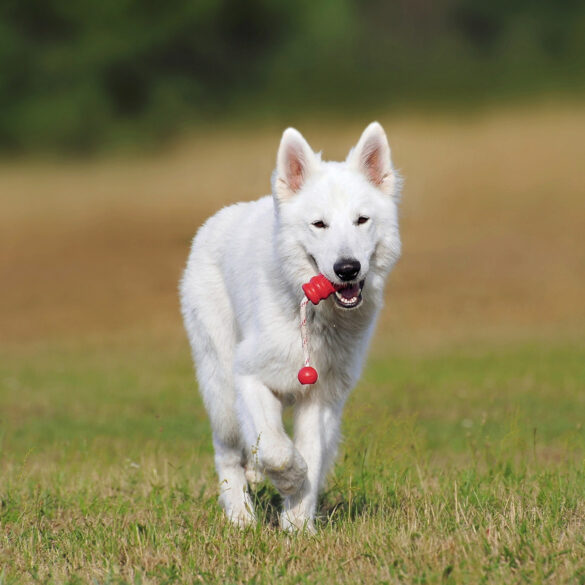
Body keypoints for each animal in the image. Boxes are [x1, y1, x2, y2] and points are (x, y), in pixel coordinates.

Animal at [180, 121, 402, 532]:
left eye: (361, 220)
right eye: (319, 224)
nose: (347, 269)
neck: (314, 316)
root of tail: (217, 219)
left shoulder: (321, 398)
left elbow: (310, 454)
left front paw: (298, 525)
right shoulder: (249, 377)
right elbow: (277, 450)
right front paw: (289, 480)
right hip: (221, 387)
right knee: (228, 453)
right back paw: (241, 517)